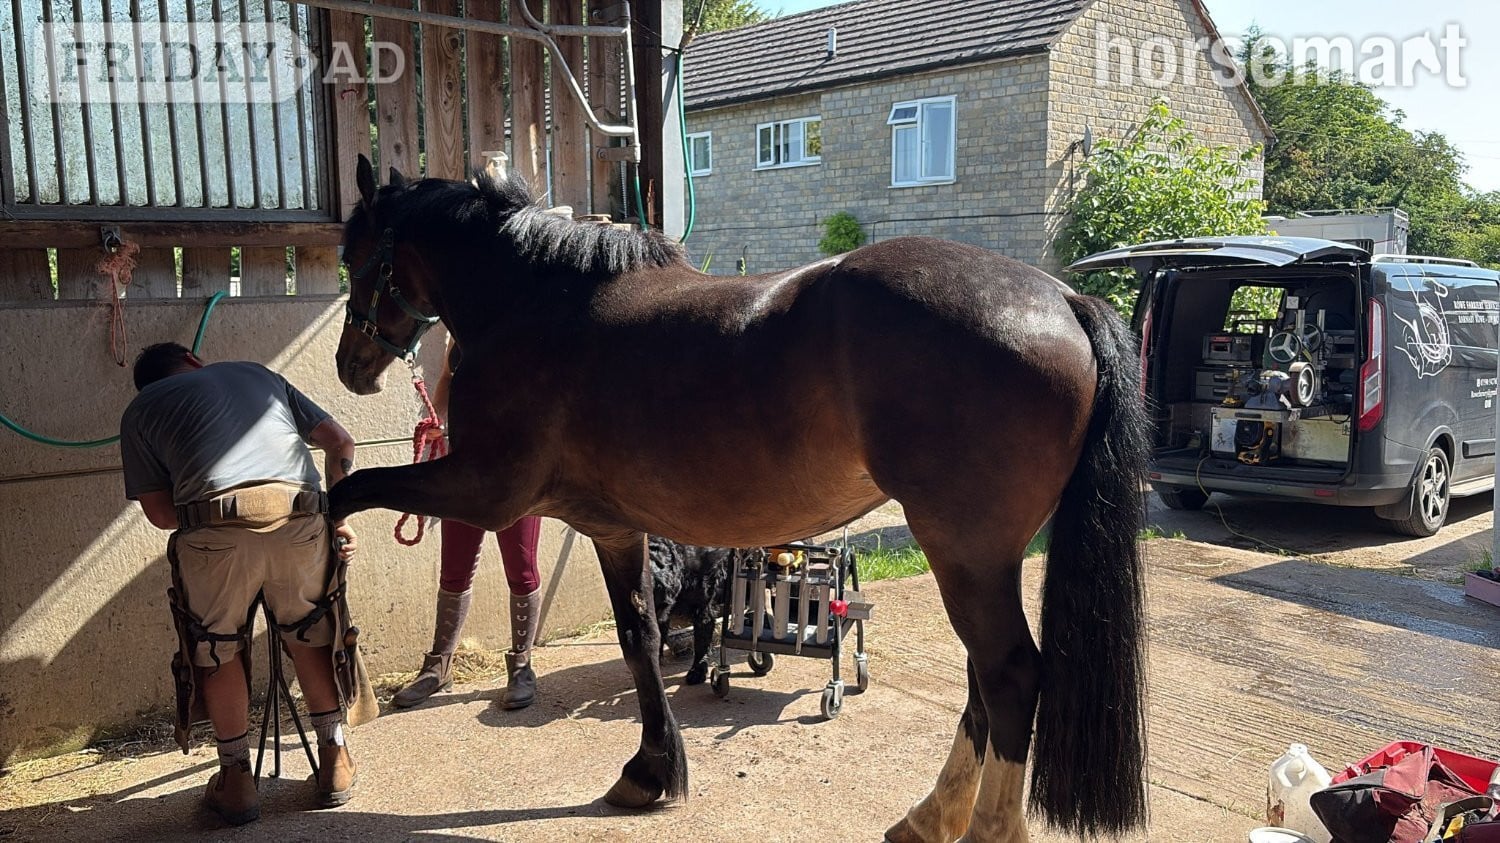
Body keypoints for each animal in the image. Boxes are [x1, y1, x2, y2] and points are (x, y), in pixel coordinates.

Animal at [329, 154, 1149, 842]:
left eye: (349, 255)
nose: (349, 365)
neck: (535, 304)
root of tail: (1063, 298)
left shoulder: (482, 488)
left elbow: (350, 489)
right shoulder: (613, 529)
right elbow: (640, 639)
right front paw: (651, 772)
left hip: (965, 553)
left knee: (1008, 676)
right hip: (976, 559)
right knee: (984, 680)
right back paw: (928, 816)